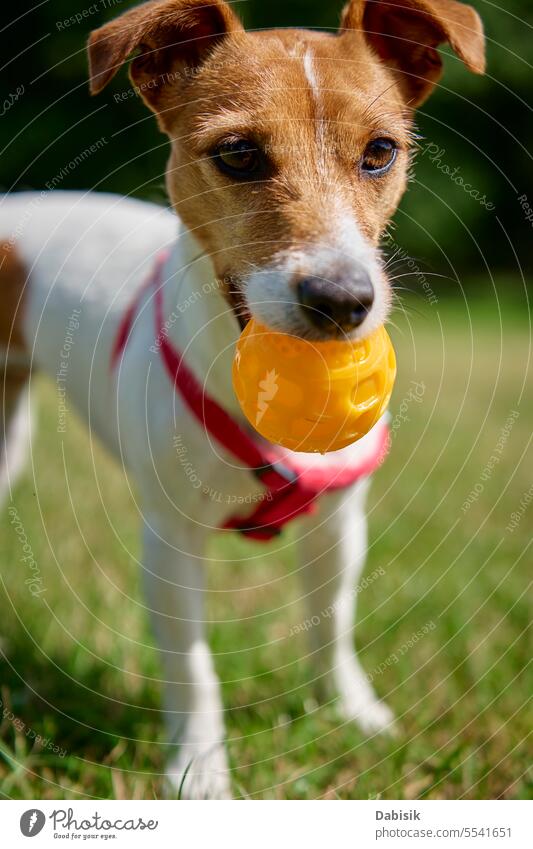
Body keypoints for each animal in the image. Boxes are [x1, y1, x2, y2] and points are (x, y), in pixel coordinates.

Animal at [0, 0, 482, 796]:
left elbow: (330, 622)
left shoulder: (339, 521)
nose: (343, 300)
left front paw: (352, 714)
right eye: (238, 154)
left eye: (380, 151)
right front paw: (199, 770)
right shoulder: (169, 541)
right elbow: (193, 670)